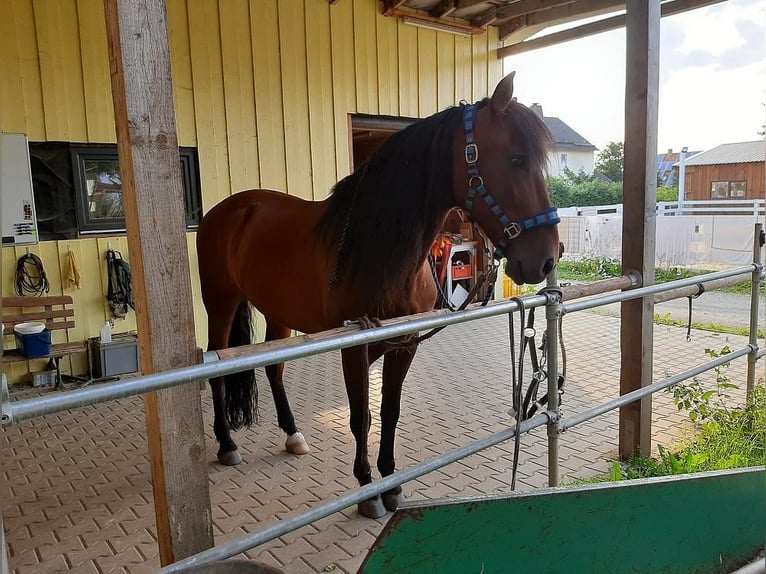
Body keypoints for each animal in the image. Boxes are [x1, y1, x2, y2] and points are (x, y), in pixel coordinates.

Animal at [195, 73, 560, 520]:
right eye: (516, 159)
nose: (547, 258)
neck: (376, 250)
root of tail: (229, 210)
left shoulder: (403, 346)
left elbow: (389, 412)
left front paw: (391, 484)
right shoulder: (354, 350)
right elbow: (360, 418)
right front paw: (368, 490)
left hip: (278, 312)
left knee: (274, 369)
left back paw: (293, 434)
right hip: (221, 303)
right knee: (216, 368)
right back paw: (227, 444)